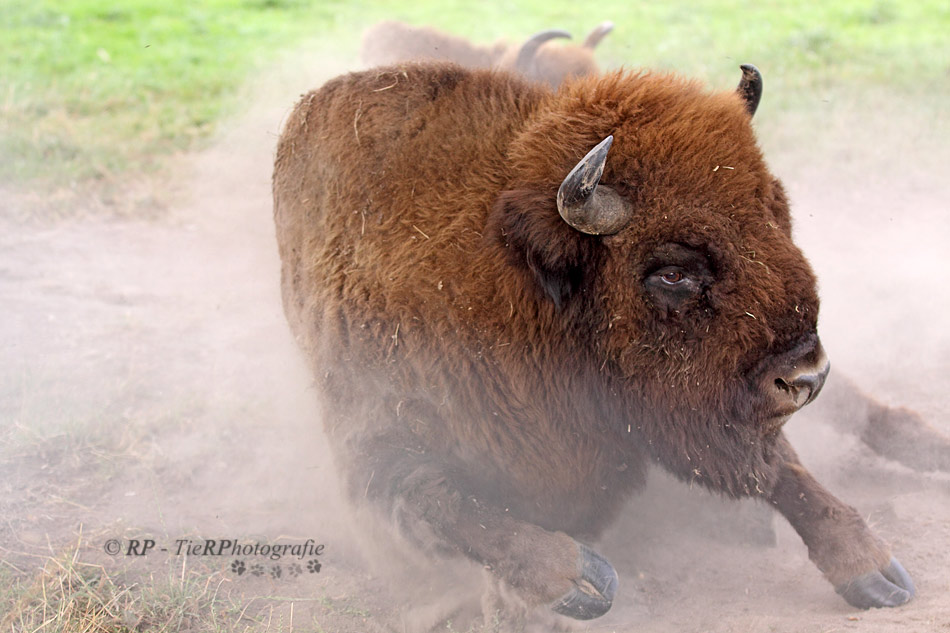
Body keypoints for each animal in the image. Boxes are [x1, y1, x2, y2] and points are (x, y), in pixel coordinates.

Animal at [272, 61, 920, 624]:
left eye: (778, 218)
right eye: (673, 272)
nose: (807, 376)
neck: (525, 283)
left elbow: (783, 465)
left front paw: (875, 570)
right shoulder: (375, 442)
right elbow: (443, 503)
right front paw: (579, 580)